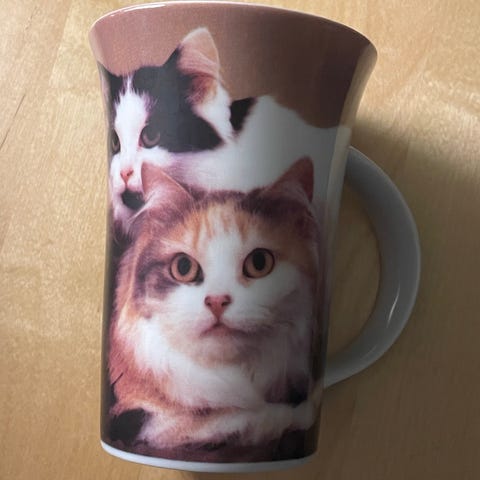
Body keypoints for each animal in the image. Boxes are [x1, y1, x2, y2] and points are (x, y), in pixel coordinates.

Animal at [107, 157, 323, 457]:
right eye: (183, 267)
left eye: (259, 263)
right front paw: (299, 412)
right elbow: (237, 419)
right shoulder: (136, 419)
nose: (217, 301)